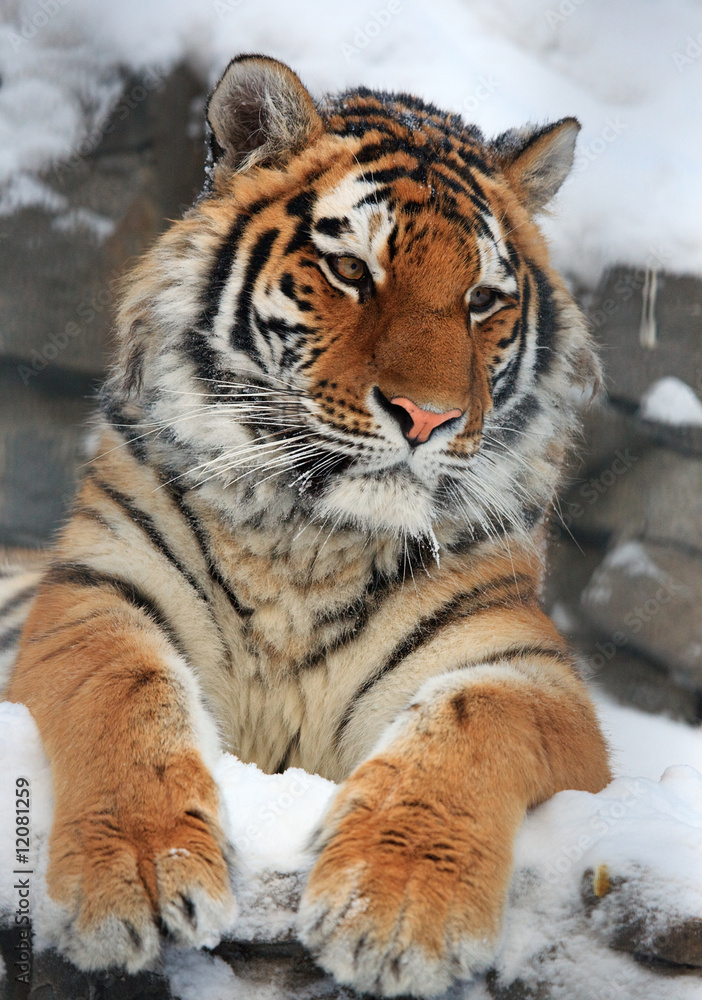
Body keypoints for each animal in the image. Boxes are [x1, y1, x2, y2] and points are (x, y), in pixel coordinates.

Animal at [4, 54, 612, 1000]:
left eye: (482, 300)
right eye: (352, 271)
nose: (428, 417)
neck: (310, 537)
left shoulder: (527, 667)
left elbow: (472, 719)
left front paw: (395, 911)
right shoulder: (98, 593)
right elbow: (124, 691)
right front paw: (138, 875)